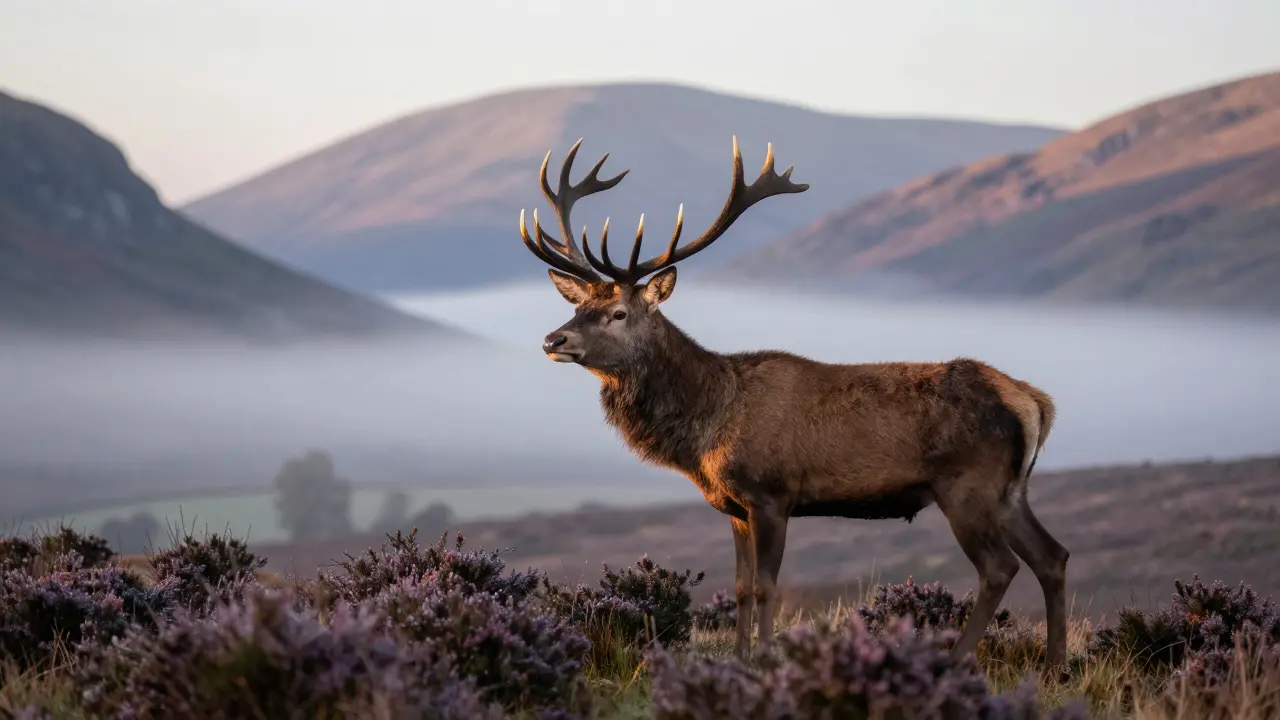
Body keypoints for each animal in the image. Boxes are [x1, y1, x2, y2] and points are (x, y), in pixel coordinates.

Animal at [516, 136, 1069, 671]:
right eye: (578, 305)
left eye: (619, 312)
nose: (552, 340)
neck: (707, 427)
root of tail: (1035, 401)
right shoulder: (734, 506)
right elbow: (740, 588)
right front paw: (740, 660)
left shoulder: (772, 494)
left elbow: (766, 587)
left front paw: (765, 658)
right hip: (1010, 491)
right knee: (1053, 556)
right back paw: (1054, 665)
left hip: (967, 486)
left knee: (1000, 568)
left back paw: (954, 662)